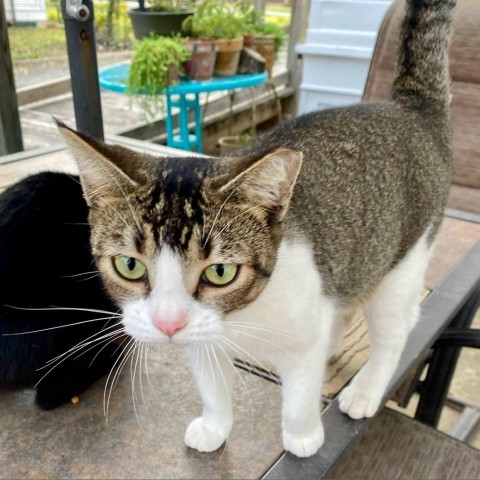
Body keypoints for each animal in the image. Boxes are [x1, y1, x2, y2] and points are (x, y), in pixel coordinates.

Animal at [57, 0, 454, 458]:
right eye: (129, 265)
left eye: (220, 272)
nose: (168, 326)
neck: (242, 316)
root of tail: (411, 108)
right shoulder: (205, 340)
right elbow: (212, 387)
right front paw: (214, 426)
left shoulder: (302, 333)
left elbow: (299, 395)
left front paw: (303, 436)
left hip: (406, 256)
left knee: (395, 328)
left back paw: (366, 389)